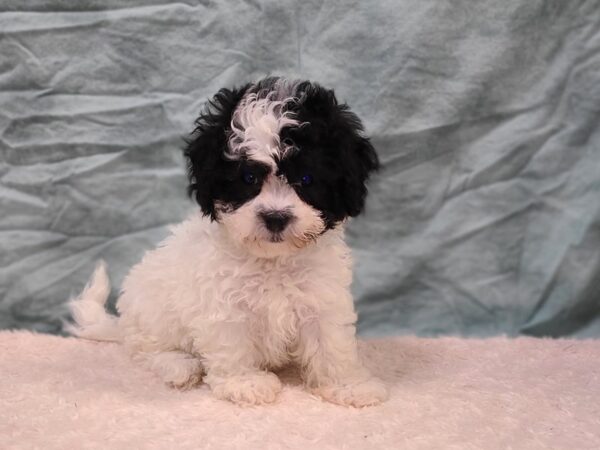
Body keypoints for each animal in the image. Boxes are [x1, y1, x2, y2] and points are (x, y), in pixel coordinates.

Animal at [69, 77, 390, 408]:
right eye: (248, 178)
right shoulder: (224, 303)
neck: (273, 260)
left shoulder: (322, 297)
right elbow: (232, 342)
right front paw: (244, 382)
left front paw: (349, 385)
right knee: (145, 349)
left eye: (306, 179)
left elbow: (331, 342)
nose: (275, 217)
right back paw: (179, 365)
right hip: (152, 315)